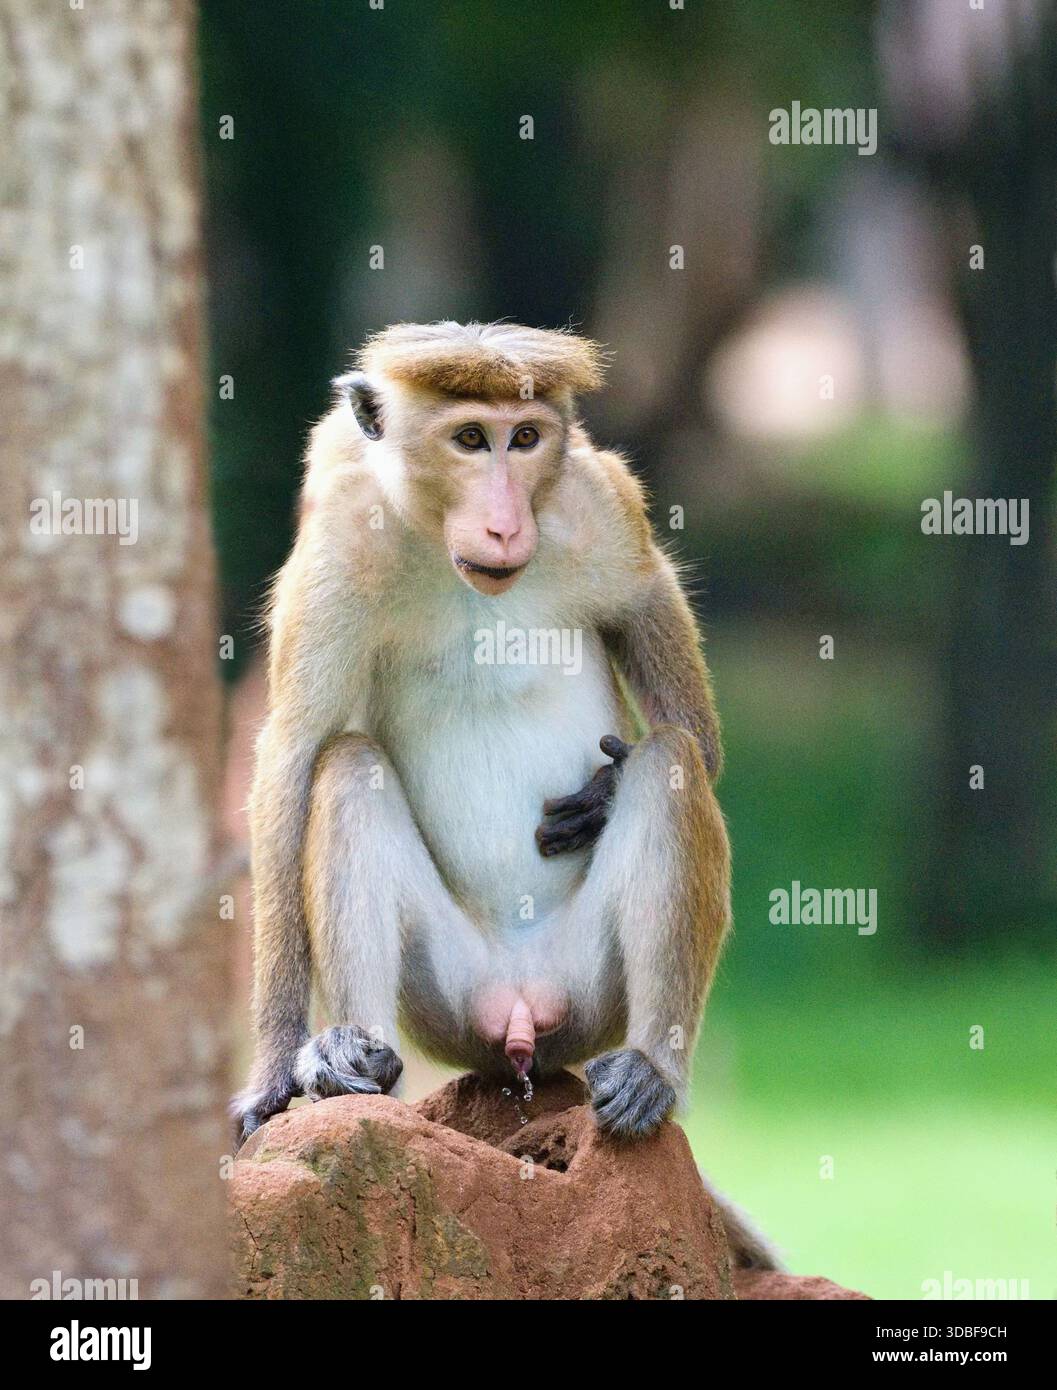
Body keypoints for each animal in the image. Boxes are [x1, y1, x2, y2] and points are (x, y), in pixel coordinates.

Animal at [232, 321, 774, 1265]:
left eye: (523, 438)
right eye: (468, 438)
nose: (504, 517)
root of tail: (520, 1014)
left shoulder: (598, 508)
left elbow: (692, 732)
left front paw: (604, 793)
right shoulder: (338, 547)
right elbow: (294, 756)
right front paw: (273, 1072)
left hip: (590, 997)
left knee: (670, 763)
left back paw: (652, 1071)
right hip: (446, 1002)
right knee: (347, 769)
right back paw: (350, 1060)